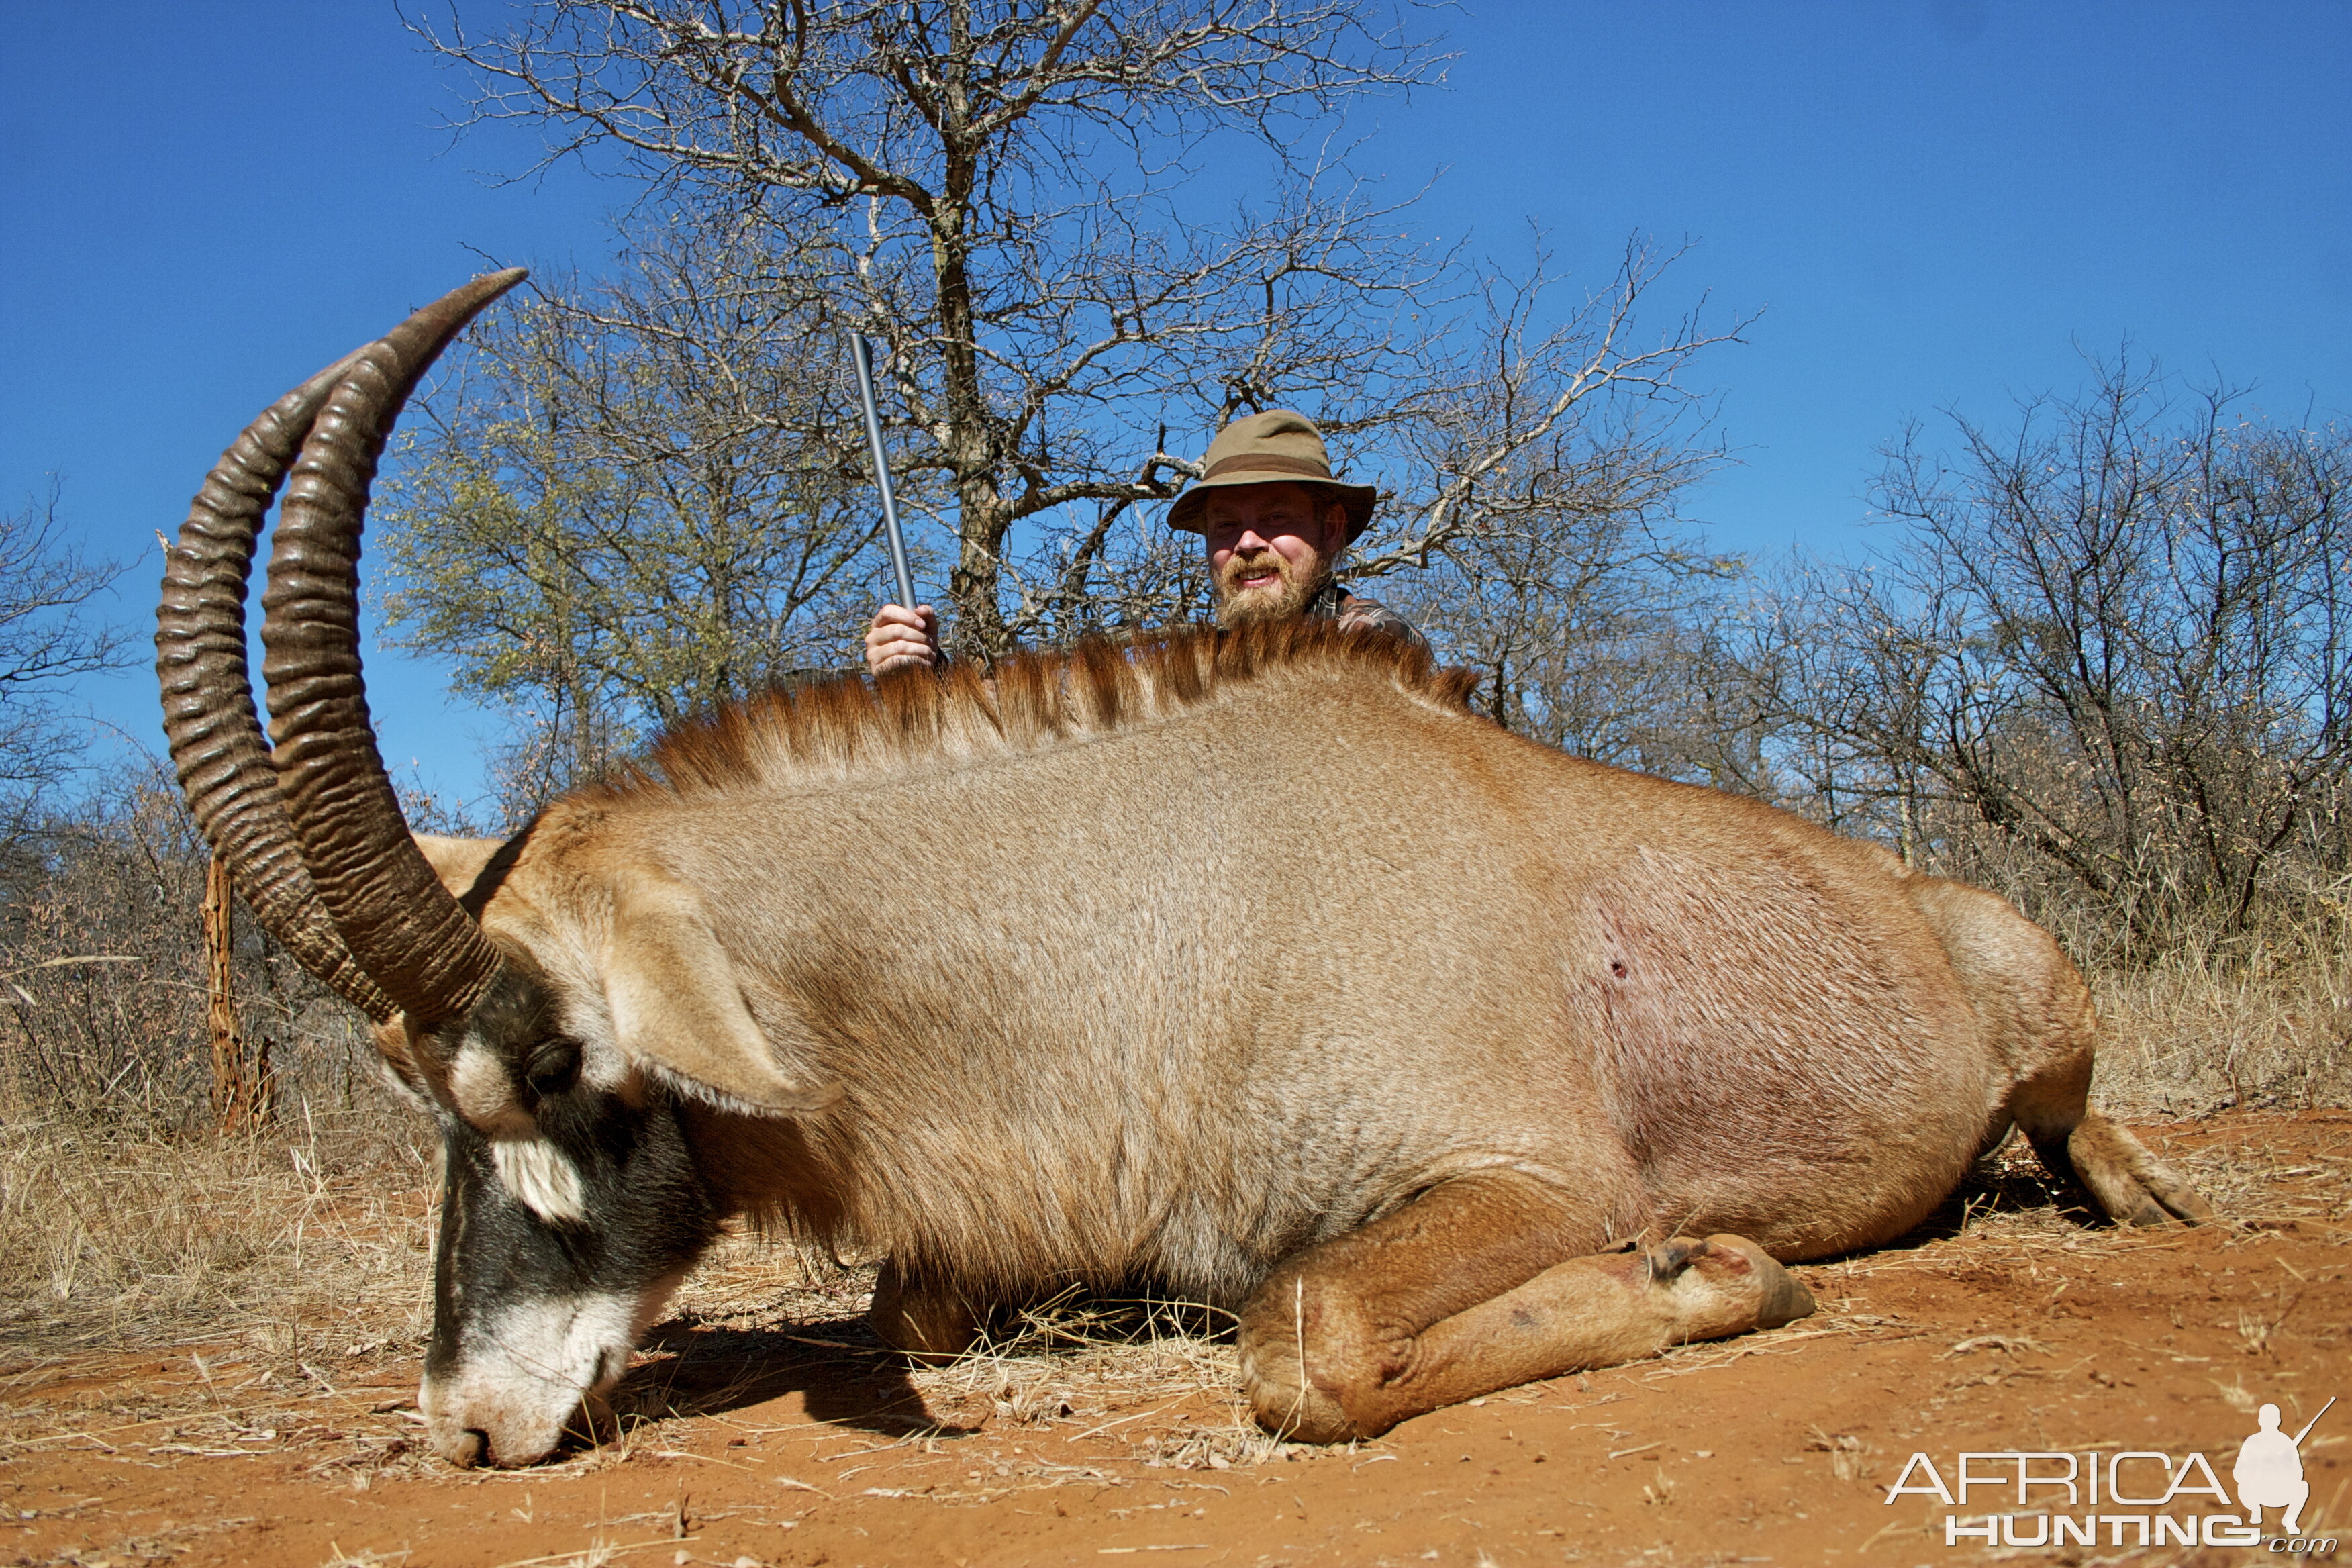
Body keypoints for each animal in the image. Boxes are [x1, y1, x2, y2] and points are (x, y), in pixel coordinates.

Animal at [161, 273, 2201, 1476]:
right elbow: (918, 1310)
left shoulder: (1529, 1181)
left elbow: (1298, 1336)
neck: (1174, 886)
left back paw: (2143, 1198)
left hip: (2048, 1024)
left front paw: (1722, 1273)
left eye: (559, 1067)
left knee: (2079, 1127)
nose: (462, 1425)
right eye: (422, 1095)